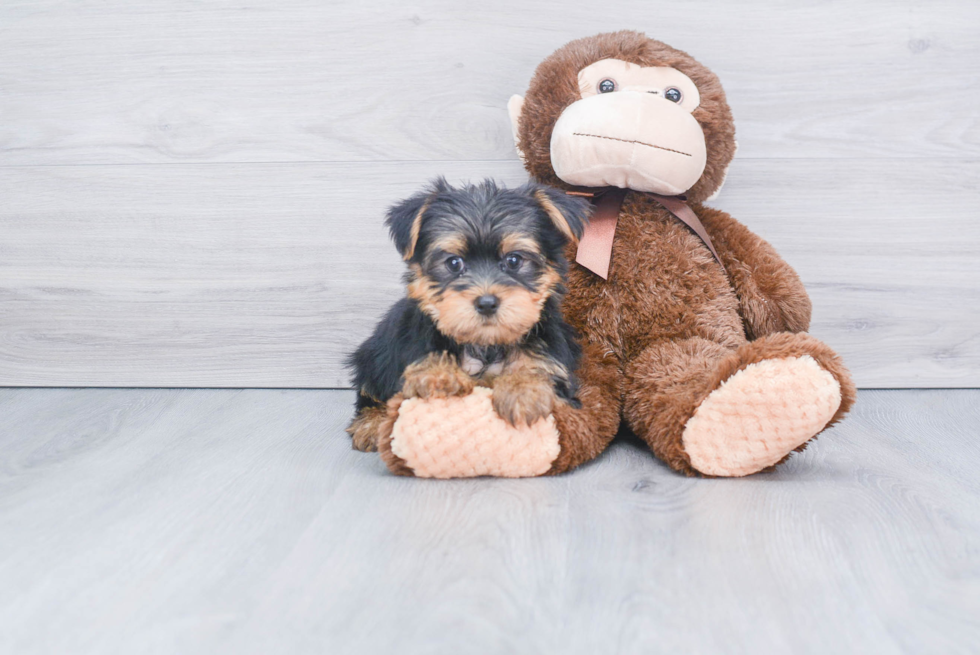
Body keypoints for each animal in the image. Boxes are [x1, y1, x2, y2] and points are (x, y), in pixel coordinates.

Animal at [346, 177, 588, 454]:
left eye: (514, 260)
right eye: (454, 263)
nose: (486, 303)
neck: (485, 344)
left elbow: (538, 370)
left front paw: (523, 389)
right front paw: (438, 376)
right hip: (374, 356)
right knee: (369, 391)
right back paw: (371, 423)